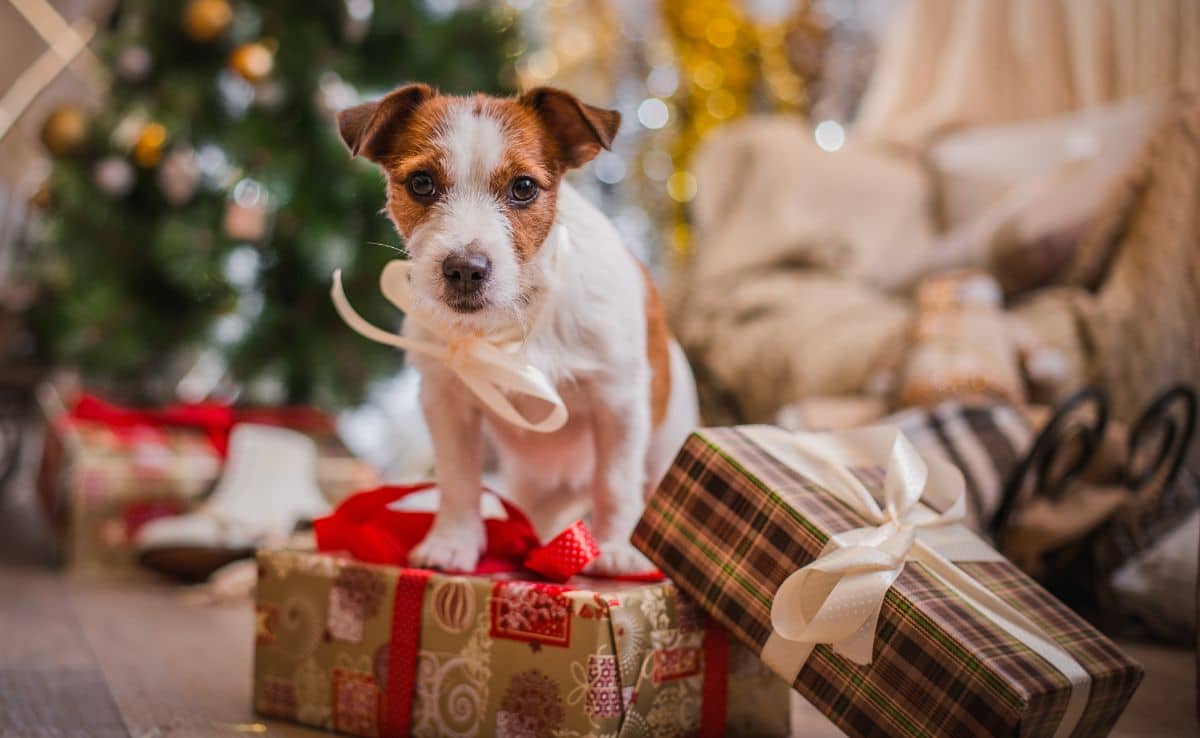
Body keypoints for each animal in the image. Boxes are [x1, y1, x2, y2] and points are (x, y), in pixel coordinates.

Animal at [333, 84, 700, 573]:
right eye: (422, 183)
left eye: (523, 187)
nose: (465, 270)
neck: (512, 322)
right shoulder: (447, 402)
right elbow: (459, 479)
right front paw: (452, 542)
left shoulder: (617, 402)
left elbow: (615, 480)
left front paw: (616, 547)